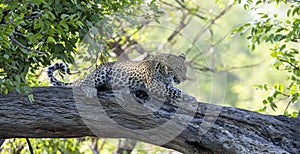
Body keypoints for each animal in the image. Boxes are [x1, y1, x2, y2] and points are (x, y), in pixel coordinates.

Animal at [47, 53, 196, 101]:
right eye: (178, 69)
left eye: (184, 69)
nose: (183, 78)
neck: (165, 73)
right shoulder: (155, 86)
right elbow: (174, 92)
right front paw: (190, 98)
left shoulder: (167, 84)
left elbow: (174, 89)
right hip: (102, 72)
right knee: (85, 83)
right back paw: (90, 91)